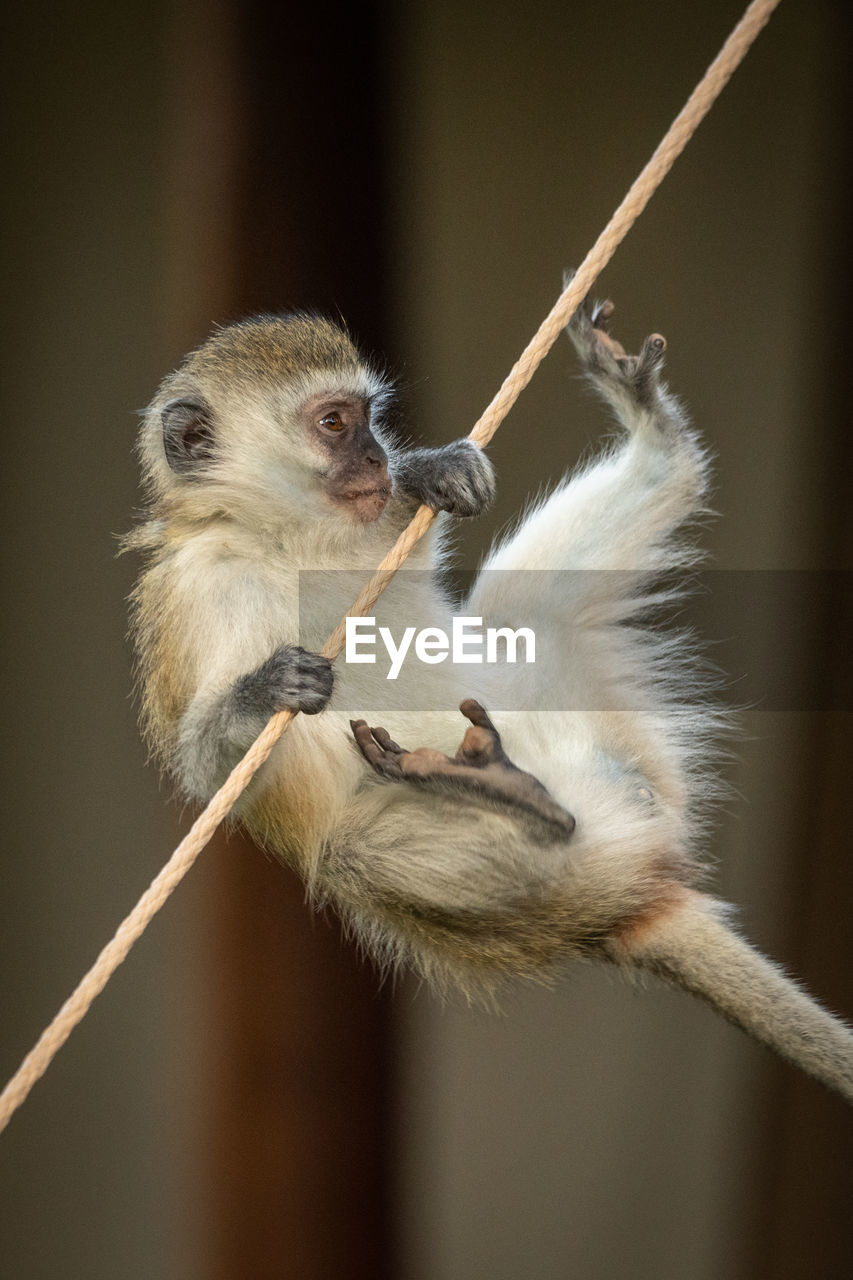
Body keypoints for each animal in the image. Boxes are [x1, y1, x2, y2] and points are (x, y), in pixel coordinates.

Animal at [126, 293, 850, 1100]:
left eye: (368, 418)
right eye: (334, 424)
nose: (376, 457)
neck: (287, 541)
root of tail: (622, 901)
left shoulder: (371, 531)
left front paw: (429, 471)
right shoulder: (200, 591)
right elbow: (208, 768)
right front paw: (265, 691)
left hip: (592, 718)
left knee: (527, 603)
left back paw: (656, 442)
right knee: (356, 851)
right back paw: (519, 801)